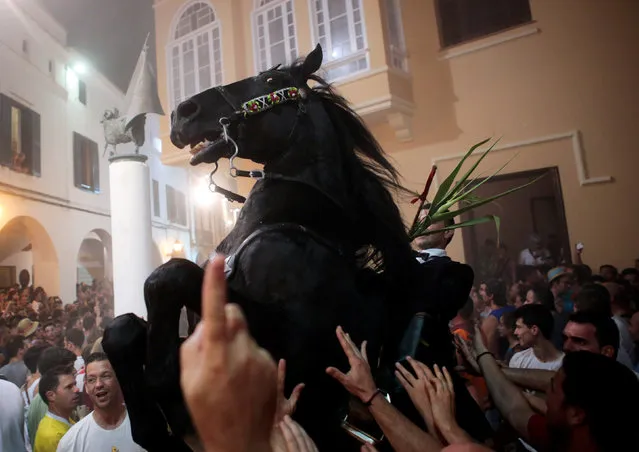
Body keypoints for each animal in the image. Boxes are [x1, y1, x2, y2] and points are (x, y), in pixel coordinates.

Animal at [105, 44, 488, 450]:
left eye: (272, 79)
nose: (183, 112)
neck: (275, 225)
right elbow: (123, 328)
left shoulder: (285, 347)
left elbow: (171, 277)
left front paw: (165, 382)